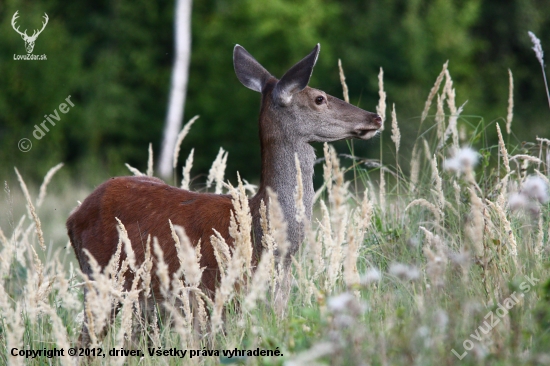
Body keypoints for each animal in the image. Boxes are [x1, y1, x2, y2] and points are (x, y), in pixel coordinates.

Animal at [67, 43, 382, 346]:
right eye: (319, 98)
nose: (375, 117)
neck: (266, 241)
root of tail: (74, 216)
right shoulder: (211, 297)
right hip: (103, 281)